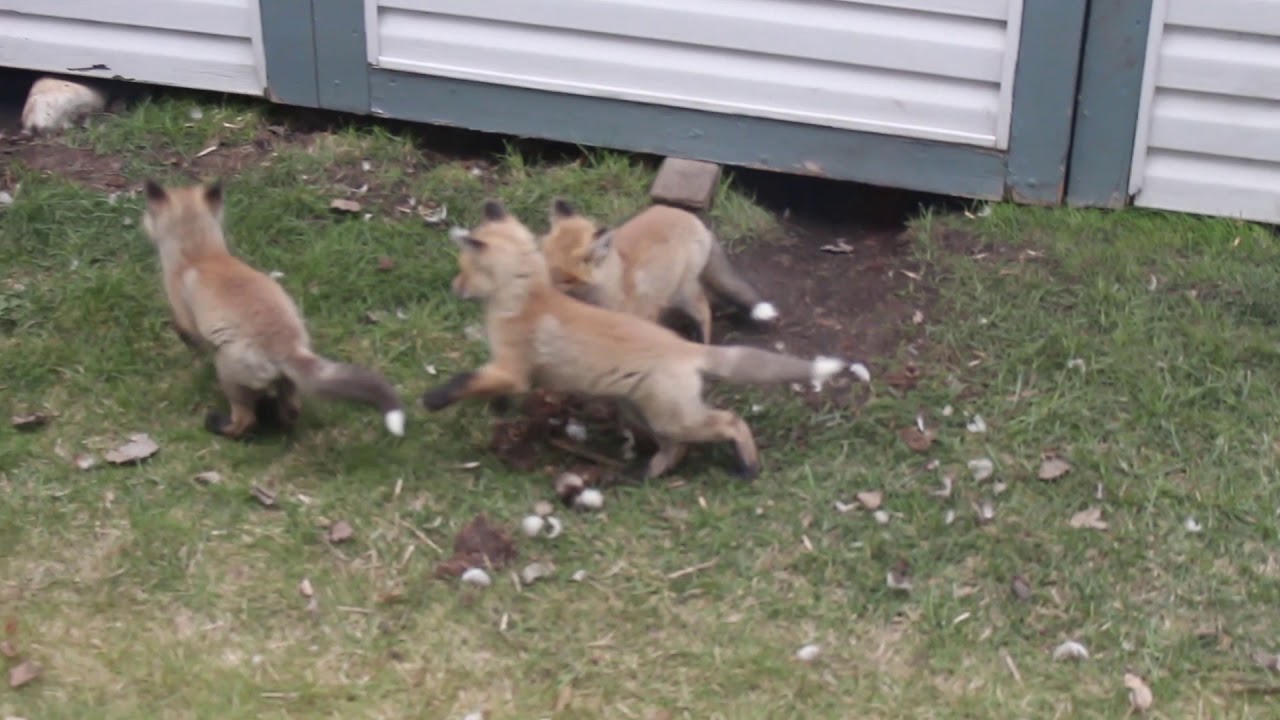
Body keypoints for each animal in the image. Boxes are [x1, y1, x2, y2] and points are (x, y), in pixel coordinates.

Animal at [141, 179, 406, 439]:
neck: (200, 256)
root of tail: (287, 348)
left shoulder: (185, 314)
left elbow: (184, 331)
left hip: (227, 371)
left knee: (245, 420)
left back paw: (218, 424)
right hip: (287, 381)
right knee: (291, 412)